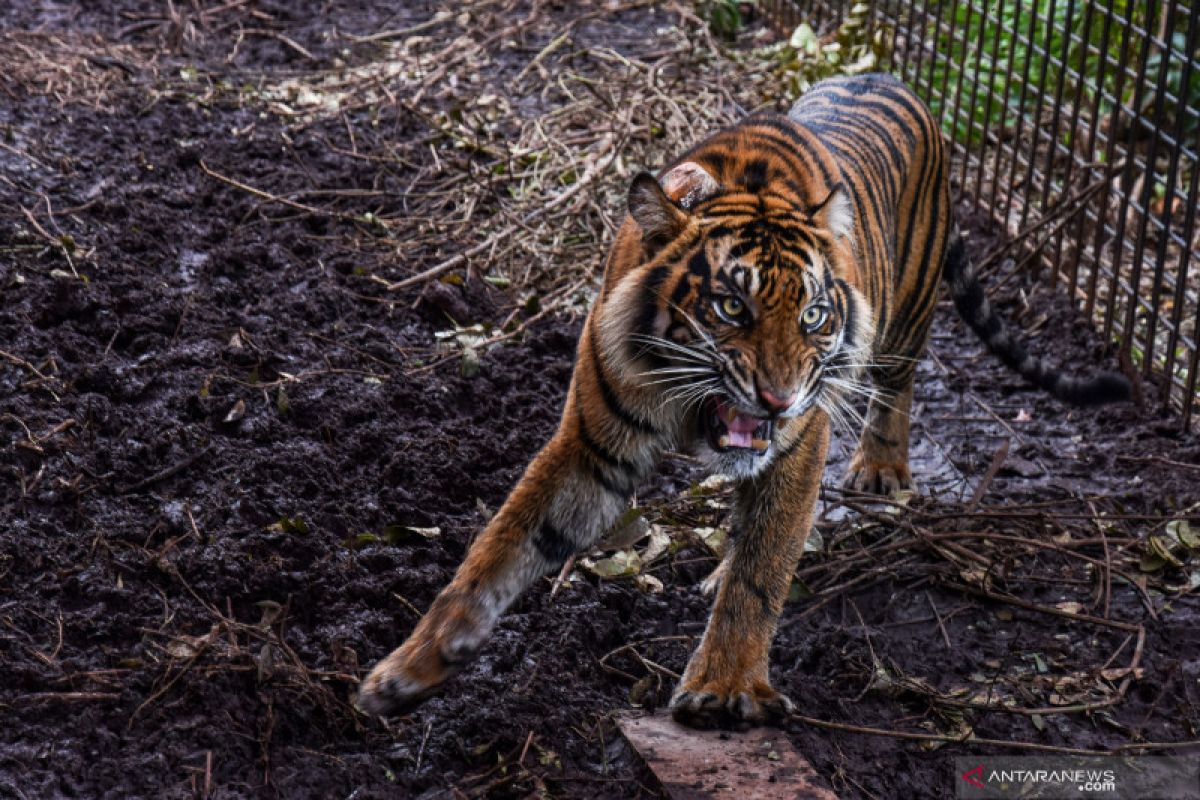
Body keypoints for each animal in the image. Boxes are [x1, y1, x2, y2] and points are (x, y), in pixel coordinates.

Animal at [350, 71, 1128, 729]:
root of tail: (892, 76)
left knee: (896, 385)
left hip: (904, 318)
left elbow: (763, 570)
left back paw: (879, 470)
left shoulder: (798, 448)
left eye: (813, 315)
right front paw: (406, 671)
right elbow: (500, 546)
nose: (778, 399)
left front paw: (723, 687)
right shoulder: (592, 444)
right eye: (731, 306)